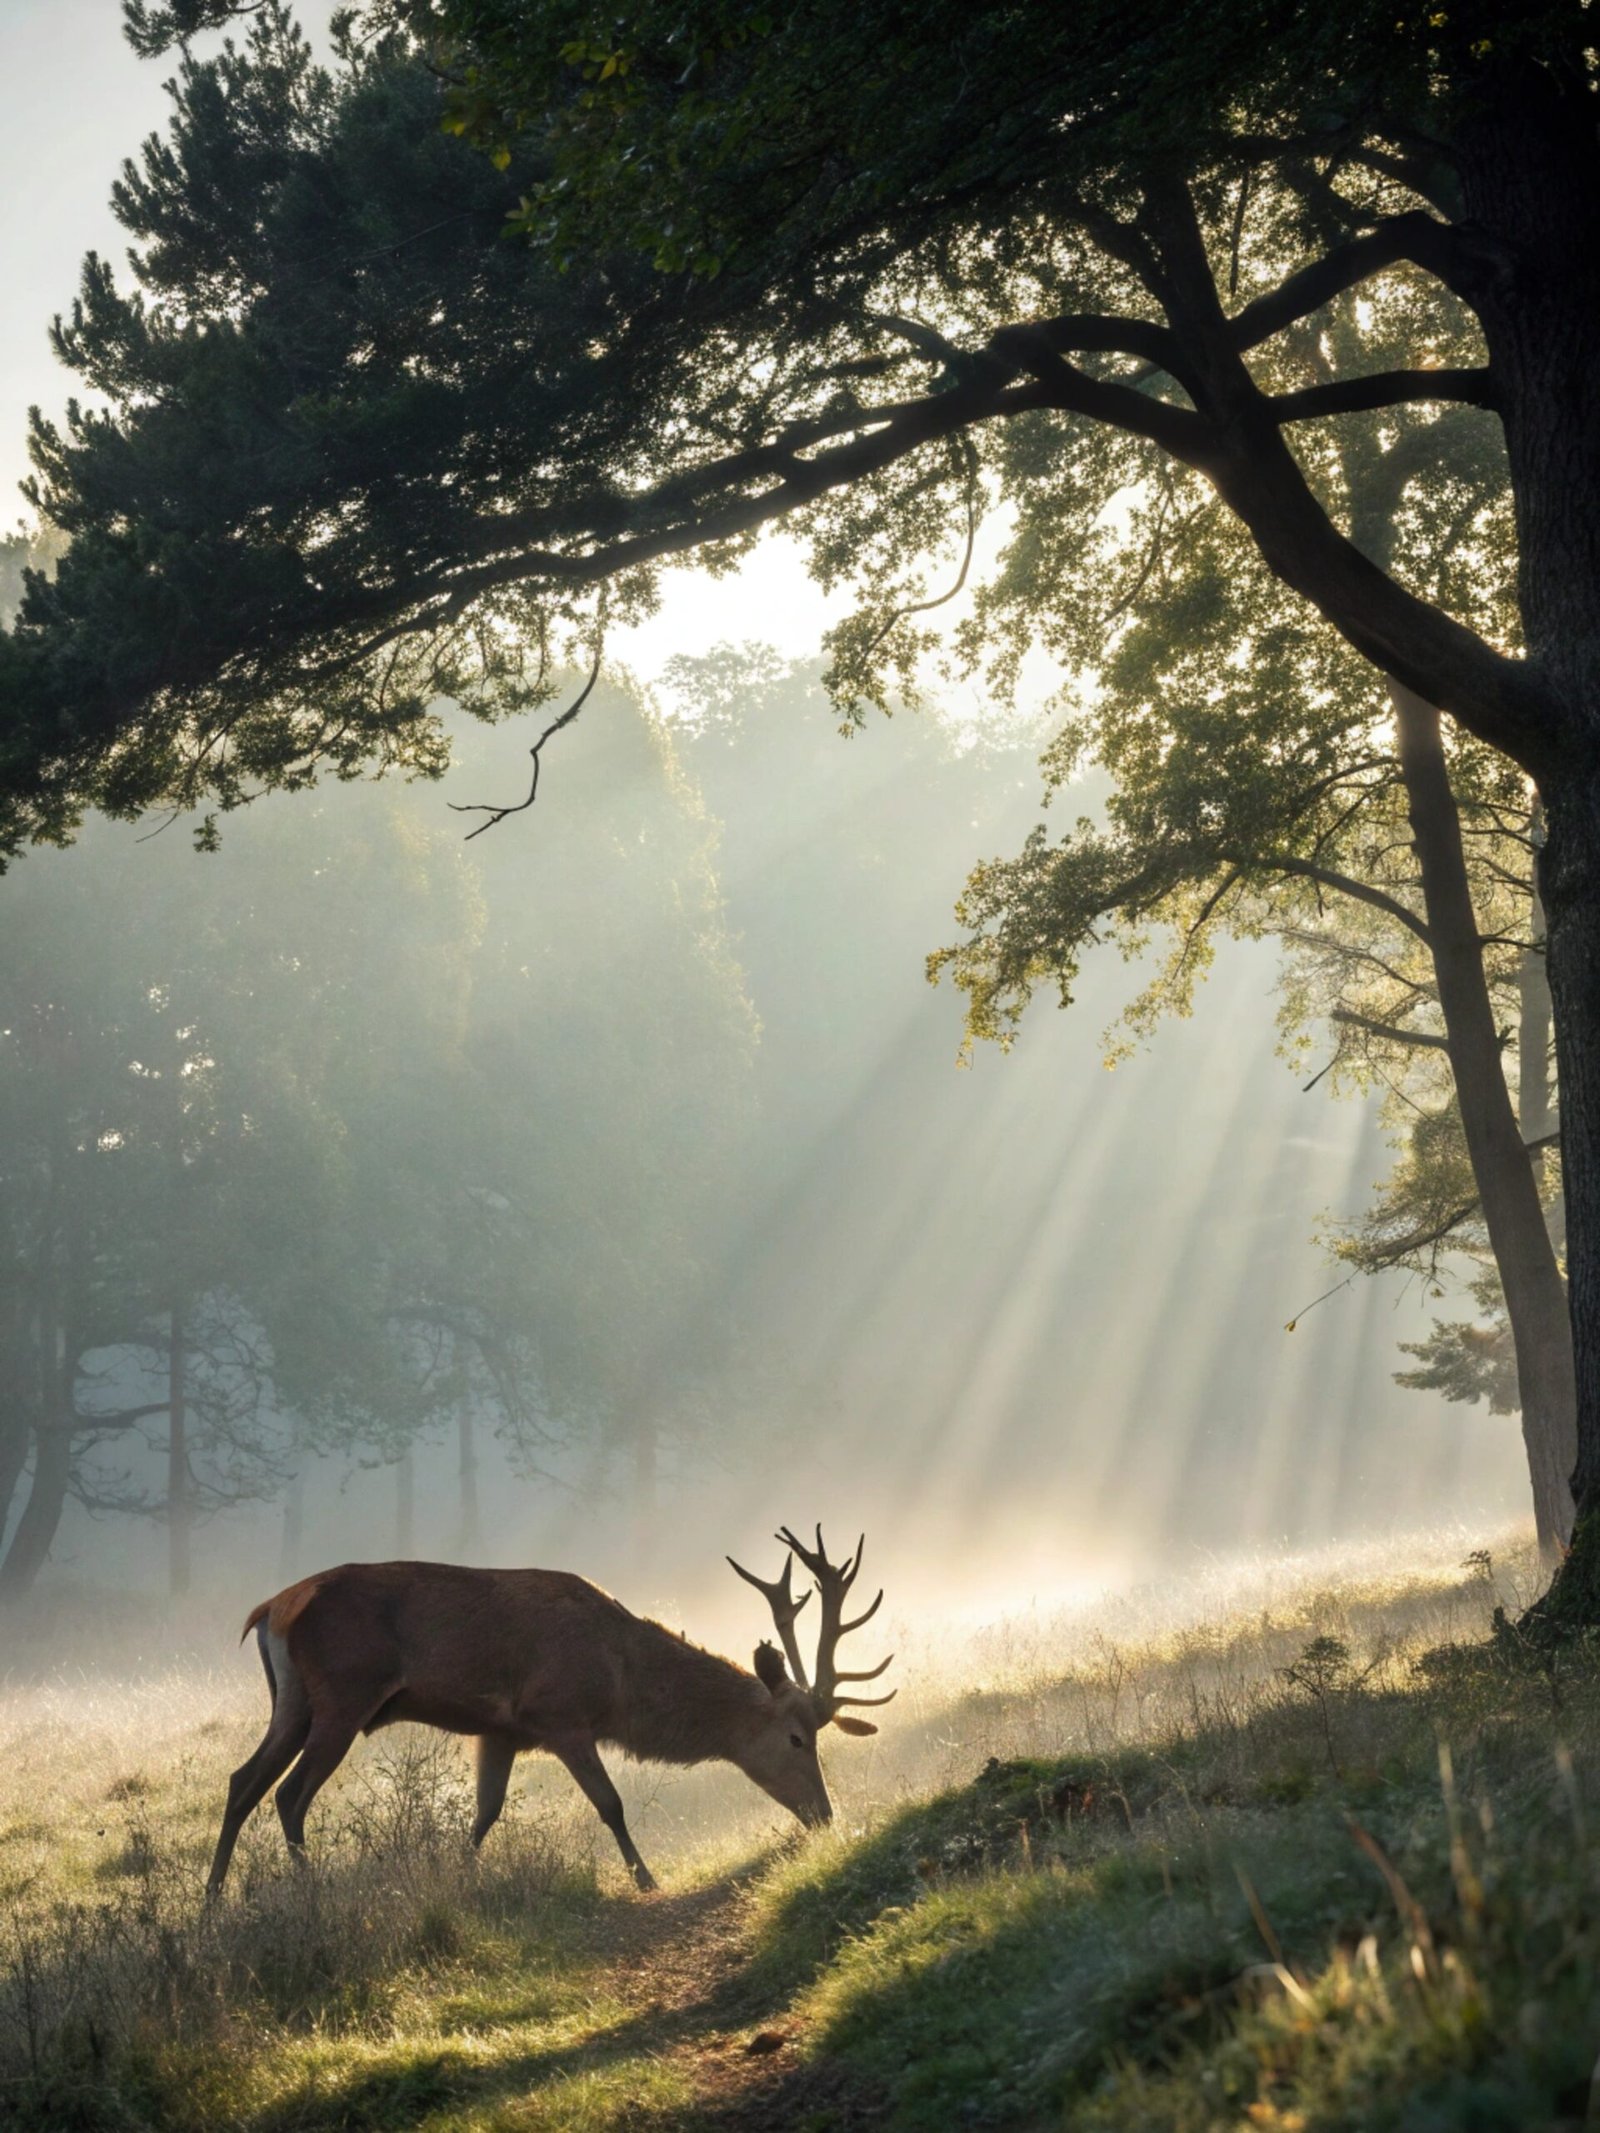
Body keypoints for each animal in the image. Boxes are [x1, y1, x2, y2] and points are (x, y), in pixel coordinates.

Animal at [206, 1525, 894, 1896]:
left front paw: (461, 1878)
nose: (824, 1814)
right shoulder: (561, 1716)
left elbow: (485, 1813)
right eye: (799, 1737)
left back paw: (213, 1901)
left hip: (292, 1702)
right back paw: (306, 1888)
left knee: (242, 1781)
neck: (621, 1681)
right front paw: (646, 1879)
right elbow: (610, 1804)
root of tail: (271, 1608)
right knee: (289, 1794)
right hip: (344, 1696)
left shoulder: (499, 1731)